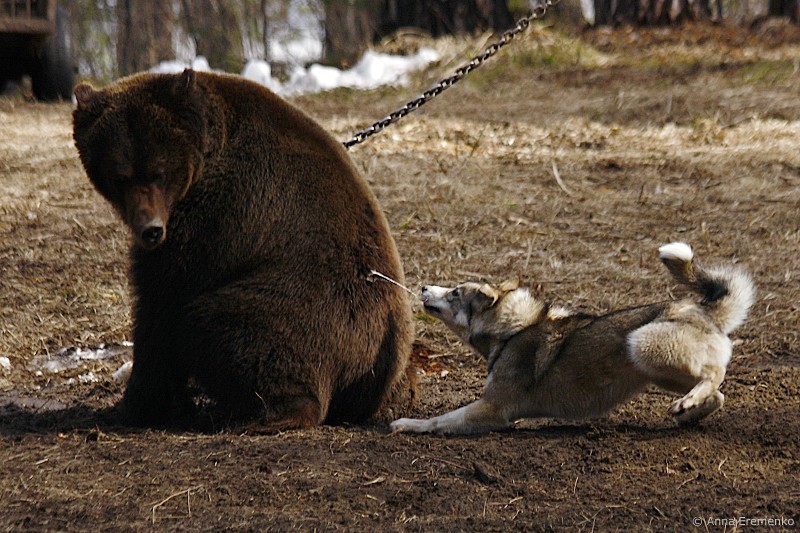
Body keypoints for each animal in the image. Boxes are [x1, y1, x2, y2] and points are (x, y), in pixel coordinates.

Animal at [72, 69, 415, 430]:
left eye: (159, 172)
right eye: (120, 175)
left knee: (213, 325)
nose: (150, 229)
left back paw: (261, 414)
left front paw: (138, 405)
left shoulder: (213, 219)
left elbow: (161, 304)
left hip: (313, 310)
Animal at [391, 242, 755, 435]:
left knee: (715, 376)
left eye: (454, 293)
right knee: (718, 395)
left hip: (642, 344)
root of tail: (706, 309)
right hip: (658, 369)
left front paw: (409, 424)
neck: (513, 331)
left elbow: (439, 419)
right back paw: (688, 410)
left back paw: (690, 402)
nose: (423, 287)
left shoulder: (492, 410)